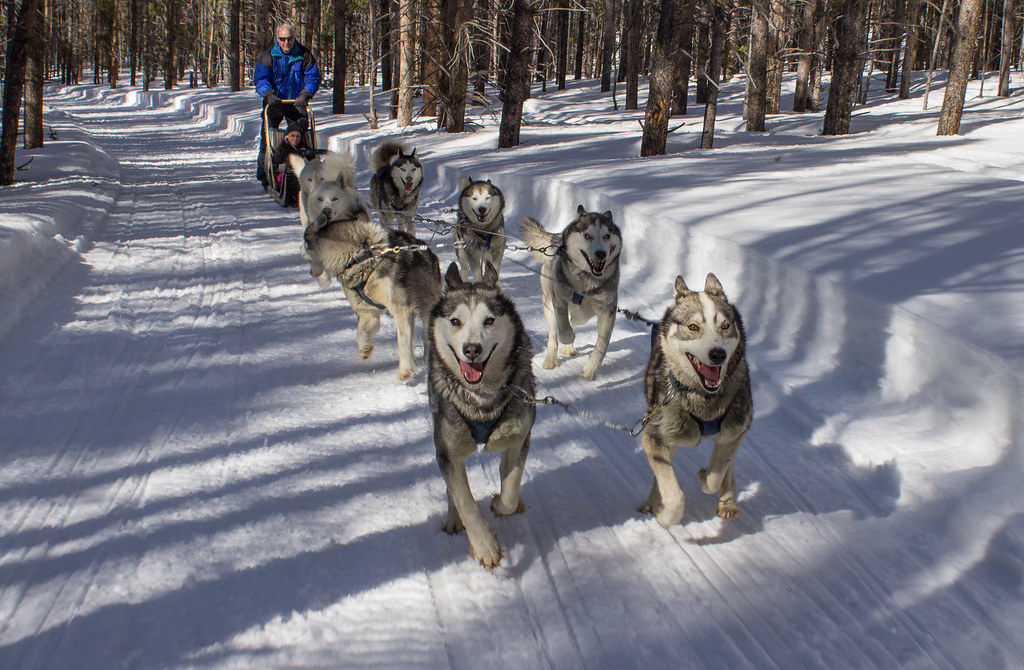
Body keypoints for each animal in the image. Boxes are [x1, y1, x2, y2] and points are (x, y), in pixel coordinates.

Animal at [305, 177, 446, 383]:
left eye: (305, 246)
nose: (311, 272)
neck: (361, 256)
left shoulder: (401, 309)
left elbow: (402, 341)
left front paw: (405, 369)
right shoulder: (368, 312)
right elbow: (361, 332)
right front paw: (365, 348)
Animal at [428, 262, 536, 565]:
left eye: (489, 321)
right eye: (456, 321)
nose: (472, 349)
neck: (482, 399)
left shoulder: (519, 436)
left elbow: (510, 487)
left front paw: (501, 503)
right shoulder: (447, 448)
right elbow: (464, 498)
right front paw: (485, 544)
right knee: (453, 488)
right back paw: (454, 518)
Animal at [520, 206, 622, 381]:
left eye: (607, 236)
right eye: (587, 236)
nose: (601, 253)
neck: (586, 281)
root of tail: (556, 238)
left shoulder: (606, 311)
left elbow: (602, 345)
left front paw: (591, 369)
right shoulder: (559, 299)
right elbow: (563, 328)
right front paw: (568, 338)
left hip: (585, 313)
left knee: (573, 319)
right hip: (549, 304)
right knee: (554, 334)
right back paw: (551, 358)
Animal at [638, 276, 753, 528]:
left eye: (725, 326)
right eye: (693, 327)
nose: (718, 354)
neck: (704, 398)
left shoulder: (737, 429)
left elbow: (716, 474)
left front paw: (705, 477)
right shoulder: (654, 435)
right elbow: (673, 493)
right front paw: (665, 515)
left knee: (727, 464)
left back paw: (728, 502)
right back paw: (653, 503)